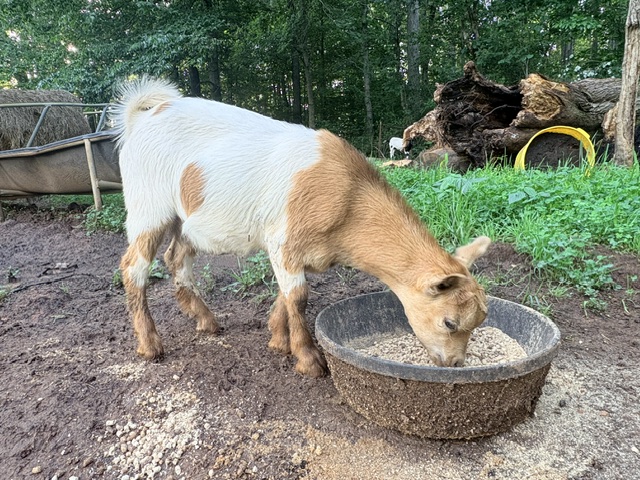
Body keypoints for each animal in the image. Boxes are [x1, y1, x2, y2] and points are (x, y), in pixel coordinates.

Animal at [112, 77, 491, 378]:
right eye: (449, 322)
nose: (456, 364)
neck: (347, 199)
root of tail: (142, 117)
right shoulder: (283, 241)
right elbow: (299, 296)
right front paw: (308, 360)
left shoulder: (293, 251)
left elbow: (286, 294)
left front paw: (278, 340)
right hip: (147, 207)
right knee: (134, 267)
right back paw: (150, 345)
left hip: (184, 219)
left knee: (177, 258)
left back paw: (207, 321)